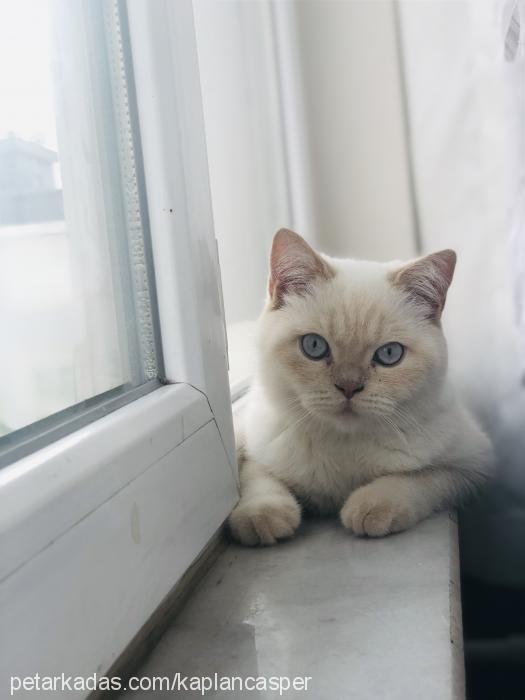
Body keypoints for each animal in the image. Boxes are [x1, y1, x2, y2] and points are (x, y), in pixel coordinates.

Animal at [228, 227, 492, 544]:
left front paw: (373, 506)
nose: (349, 387)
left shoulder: (472, 465)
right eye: (314, 346)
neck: (341, 444)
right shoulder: (252, 436)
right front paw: (263, 514)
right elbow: (255, 473)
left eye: (389, 354)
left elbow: (420, 478)